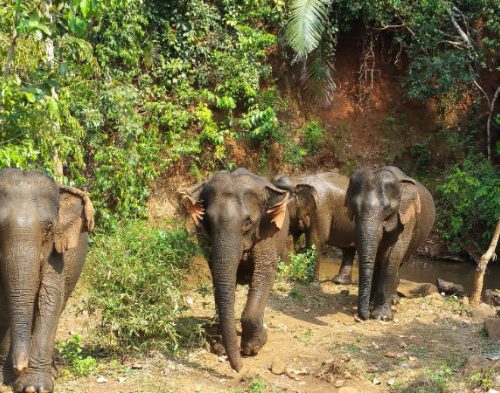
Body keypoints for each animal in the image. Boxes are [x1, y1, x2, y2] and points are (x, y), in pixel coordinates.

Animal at [0, 168, 94, 392]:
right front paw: (8, 377)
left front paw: (34, 387)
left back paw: (51, 370)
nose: (20, 368)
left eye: (48, 228)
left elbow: (50, 297)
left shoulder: (57, 251)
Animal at [181, 167, 290, 370]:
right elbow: (218, 277)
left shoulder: (268, 234)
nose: (239, 369)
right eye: (208, 222)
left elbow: (265, 272)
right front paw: (220, 347)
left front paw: (253, 348)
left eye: (248, 222)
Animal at [346, 164, 436, 320]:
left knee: (400, 260)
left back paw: (393, 300)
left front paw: (381, 317)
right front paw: (372, 309)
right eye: (354, 208)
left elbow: (393, 253)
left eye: (388, 210)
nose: (364, 316)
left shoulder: (408, 217)